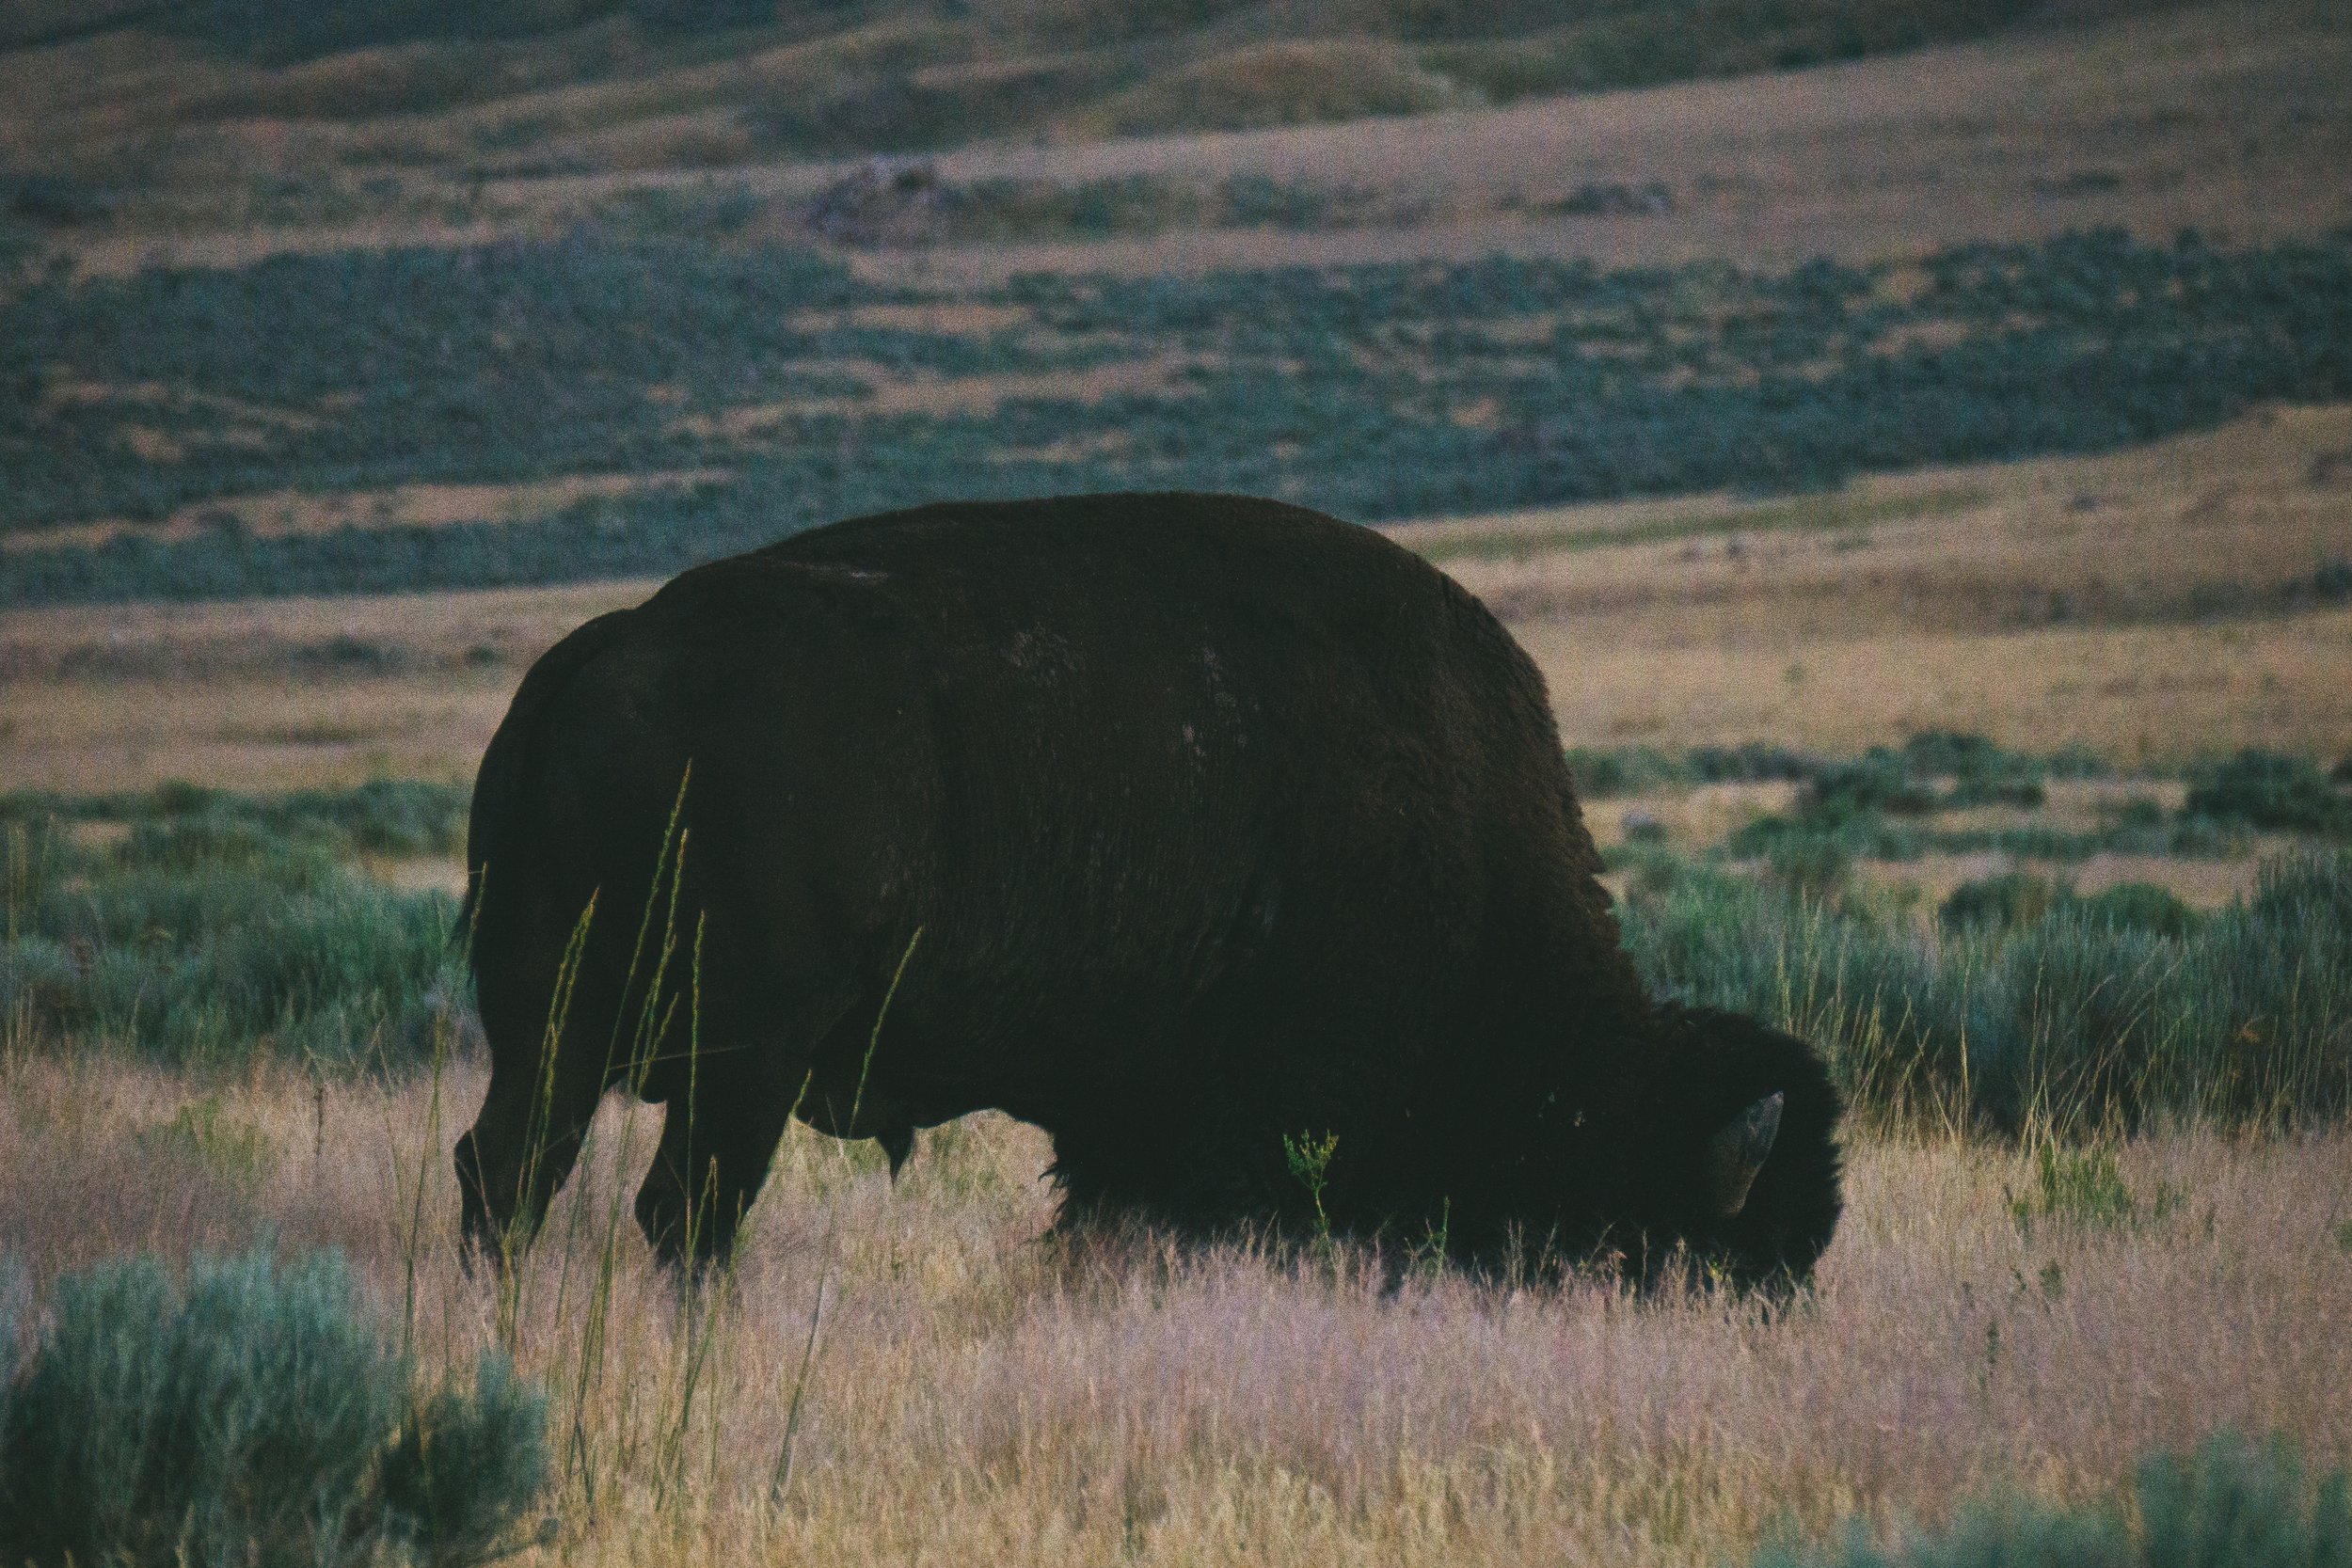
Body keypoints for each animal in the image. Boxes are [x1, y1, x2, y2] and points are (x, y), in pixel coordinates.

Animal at [449, 496, 1835, 1297]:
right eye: (1694, 1251)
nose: (1767, 1318)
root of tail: (606, 648)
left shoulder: (1129, 1126)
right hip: (742, 1050)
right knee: (681, 1205)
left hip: (550, 1024)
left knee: (507, 1168)